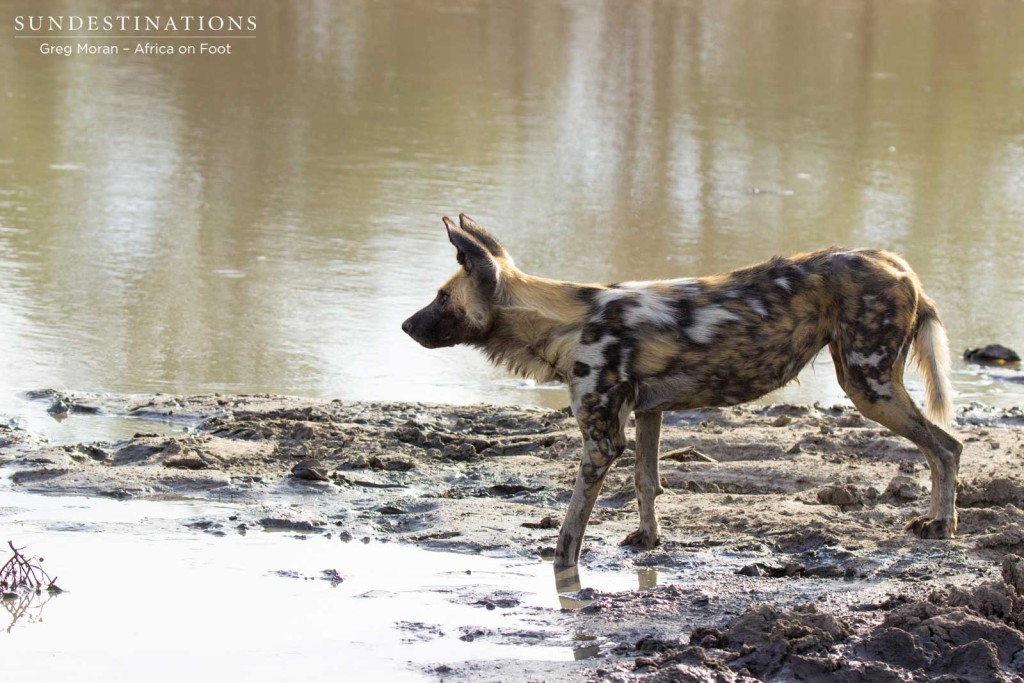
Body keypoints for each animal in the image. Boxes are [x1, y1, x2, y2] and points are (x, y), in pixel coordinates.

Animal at [401, 216, 958, 581]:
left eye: (441, 298)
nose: (405, 326)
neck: (561, 320)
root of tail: (900, 266)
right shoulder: (649, 412)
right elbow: (647, 484)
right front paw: (648, 540)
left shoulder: (601, 441)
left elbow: (571, 526)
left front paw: (560, 568)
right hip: (871, 384)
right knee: (943, 446)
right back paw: (935, 522)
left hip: (868, 384)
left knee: (947, 446)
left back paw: (941, 525)